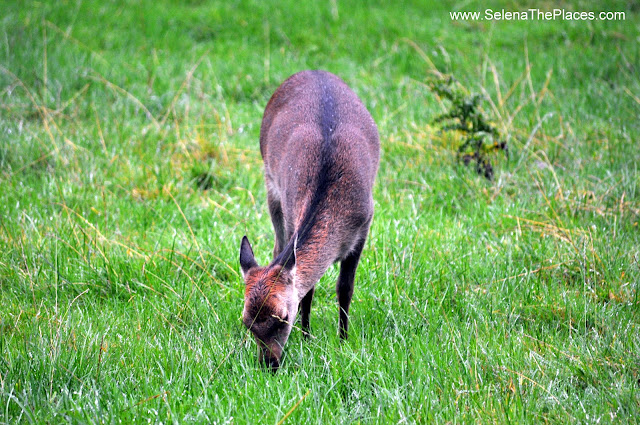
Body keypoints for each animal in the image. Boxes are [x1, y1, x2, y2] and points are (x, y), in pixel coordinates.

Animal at [240, 68, 380, 368]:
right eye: (246, 323)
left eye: (282, 318)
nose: (269, 364)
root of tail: (313, 71)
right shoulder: (292, 214)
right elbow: (309, 291)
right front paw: (306, 336)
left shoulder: (365, 226)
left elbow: (345, 288)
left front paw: (343, 339)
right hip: (270, 185)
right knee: (277, 246)